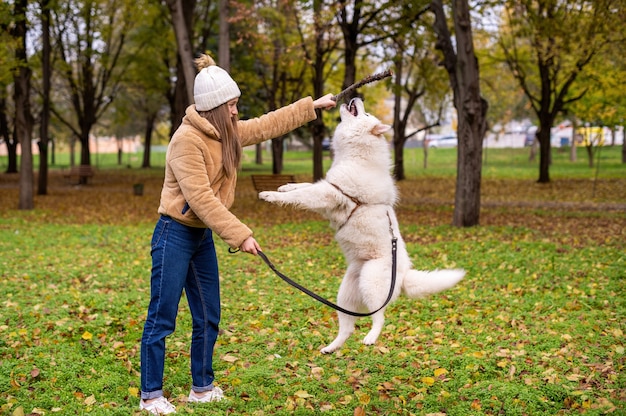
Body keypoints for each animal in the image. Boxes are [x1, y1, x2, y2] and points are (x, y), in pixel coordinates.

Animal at [258, 98, 464, 354]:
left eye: (365, 113)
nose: (357, 98)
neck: (357, 154)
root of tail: (404, 274)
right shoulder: (328, 187)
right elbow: (304, 186)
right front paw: (285, 186)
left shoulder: (329, 193)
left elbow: (302, 193)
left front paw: (270, 195)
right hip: (345, 293)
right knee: (347, 328)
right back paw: (331, 348)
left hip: (370, 281)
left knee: (380, 317)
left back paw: (371, 337)